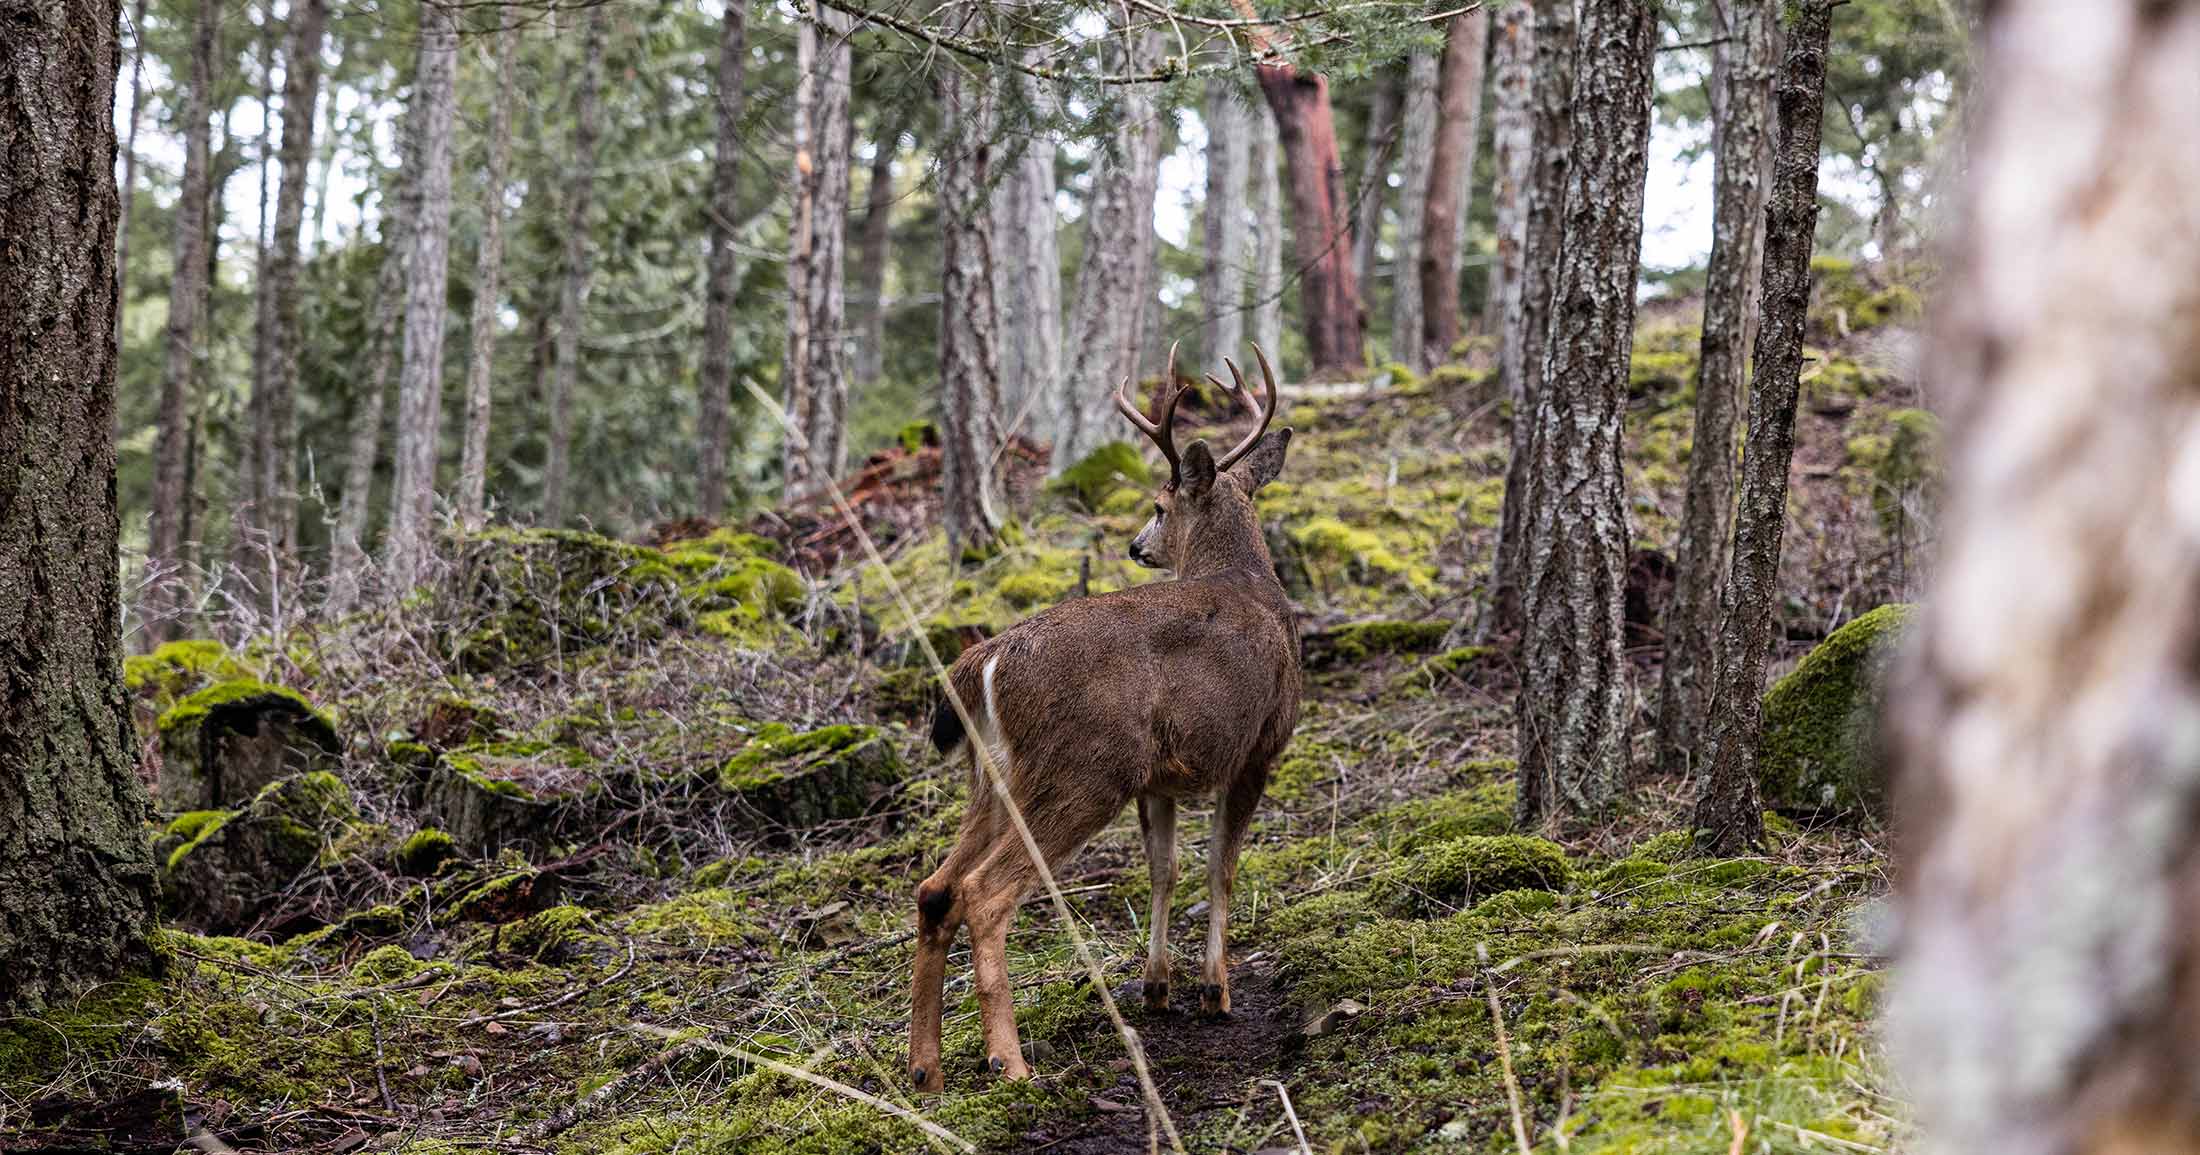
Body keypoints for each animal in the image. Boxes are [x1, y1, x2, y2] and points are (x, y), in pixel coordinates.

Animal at [907, 345, 1303, 1090]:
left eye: (1157, 505)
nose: (1136, 546)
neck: (1251, 581)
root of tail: (987, 660)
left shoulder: (1161, 778)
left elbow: (1165, 868)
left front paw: (1157, 986)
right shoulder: (1256, 748)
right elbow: (1221, 867)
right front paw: (1215, 990)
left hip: (995, 776)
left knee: (935, 888)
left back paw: (925, 1071)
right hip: (1084, 769)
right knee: (984, 892)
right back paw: (1009, 1062)